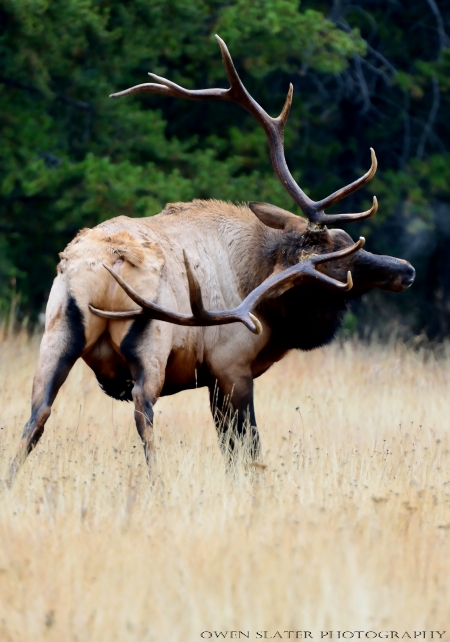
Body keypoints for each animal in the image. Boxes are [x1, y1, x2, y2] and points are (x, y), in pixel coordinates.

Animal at [6, 36, 415, 485]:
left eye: (345, 238)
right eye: (338, 261)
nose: (406, 270)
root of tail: (98, 272)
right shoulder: (230, 367)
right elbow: (244, 447)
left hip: (56, 332)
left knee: (36, 415)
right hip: (150, 342)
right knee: (143, 415)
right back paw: (158, 484)